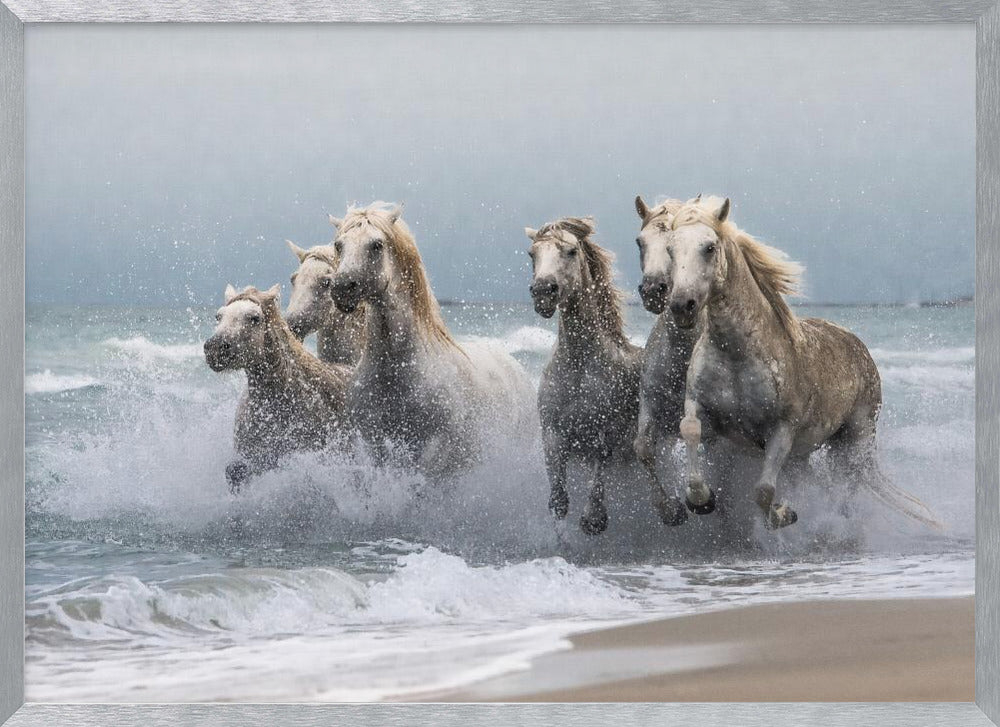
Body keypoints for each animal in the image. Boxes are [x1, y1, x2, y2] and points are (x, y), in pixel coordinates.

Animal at [328, 202, 535, 480]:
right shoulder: (375, 444)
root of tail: (515, 366)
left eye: (377, 245)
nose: (342, 289)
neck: (396, 369)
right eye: (339, 245)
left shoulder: (434, 447)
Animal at [527, 216, 645, 535]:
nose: (542, 292)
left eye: (570, 251)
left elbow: (600, 467)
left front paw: (594, 518)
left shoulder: (605, 433)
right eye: (532, 254)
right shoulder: (552, 433)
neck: (579, 367)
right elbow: (559, 500)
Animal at [659, 196, 940, 530]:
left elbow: (764, 491)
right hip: (806, 454)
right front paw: (700, 499)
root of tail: (859, 347)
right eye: (670, 249)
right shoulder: (699, 405)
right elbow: (690, 429)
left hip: (855, 439)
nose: (682, 306)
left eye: (709, 247)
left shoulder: (782, 431)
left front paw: (784, 514)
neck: (737, 354)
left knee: (849, 484)